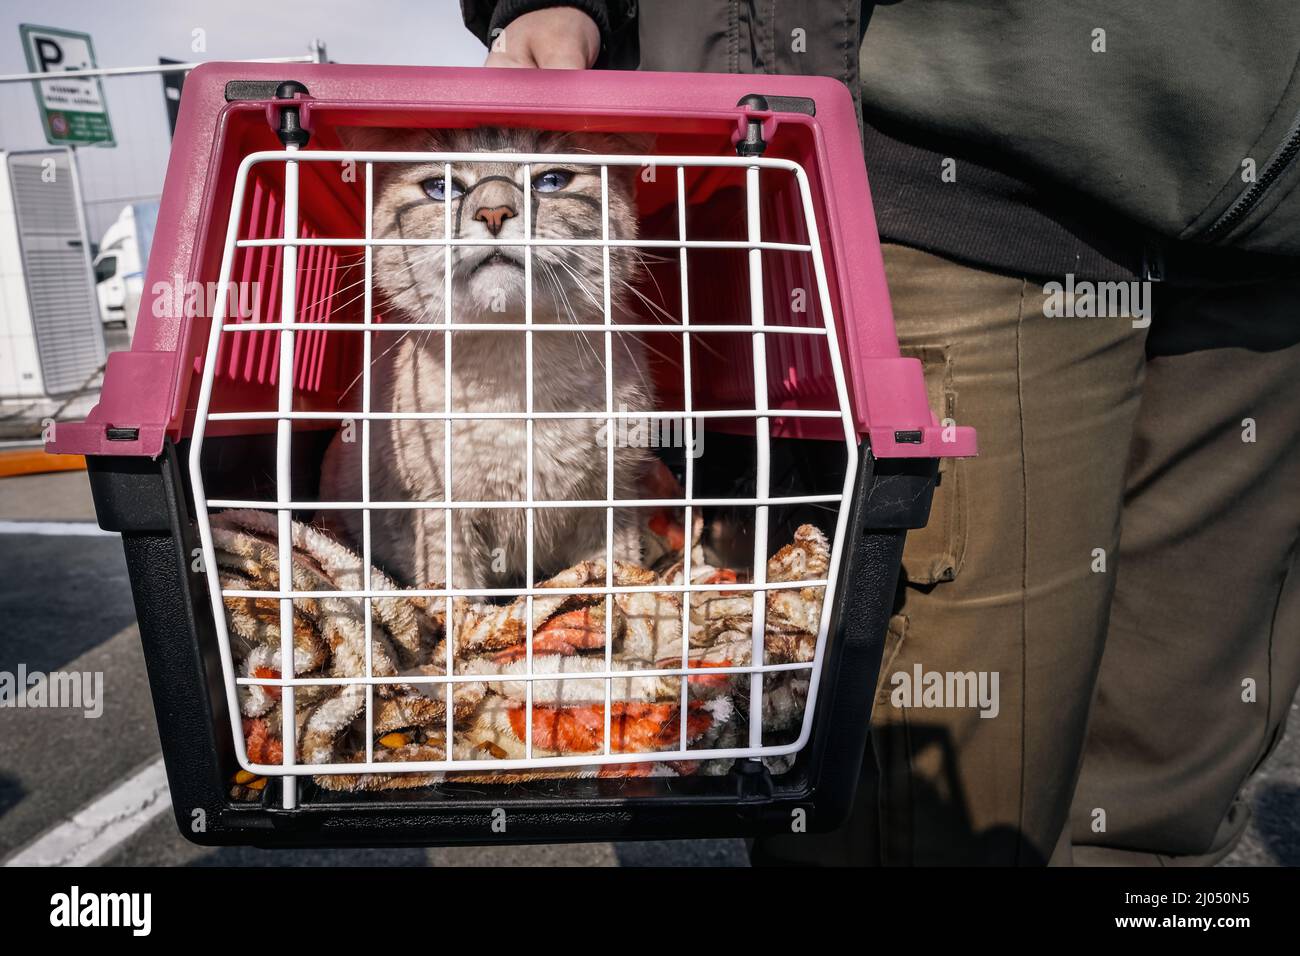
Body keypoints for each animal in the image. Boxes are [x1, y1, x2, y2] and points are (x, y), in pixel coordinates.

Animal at [319, 127, 655, 590]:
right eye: (442, 188)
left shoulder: (614, 496)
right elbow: (454, 598)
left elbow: (615, 581)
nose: (494, 213)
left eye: (550, 181)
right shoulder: (441, 510)